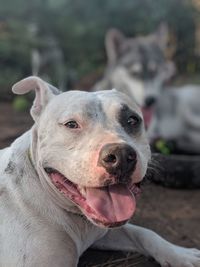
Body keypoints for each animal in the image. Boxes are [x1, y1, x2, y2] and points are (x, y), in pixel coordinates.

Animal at [0, 76, 199, 266]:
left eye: (132, 120)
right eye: (71, 124)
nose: (120, 156)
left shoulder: (106, 230)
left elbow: (143, 233)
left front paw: (180, 254)